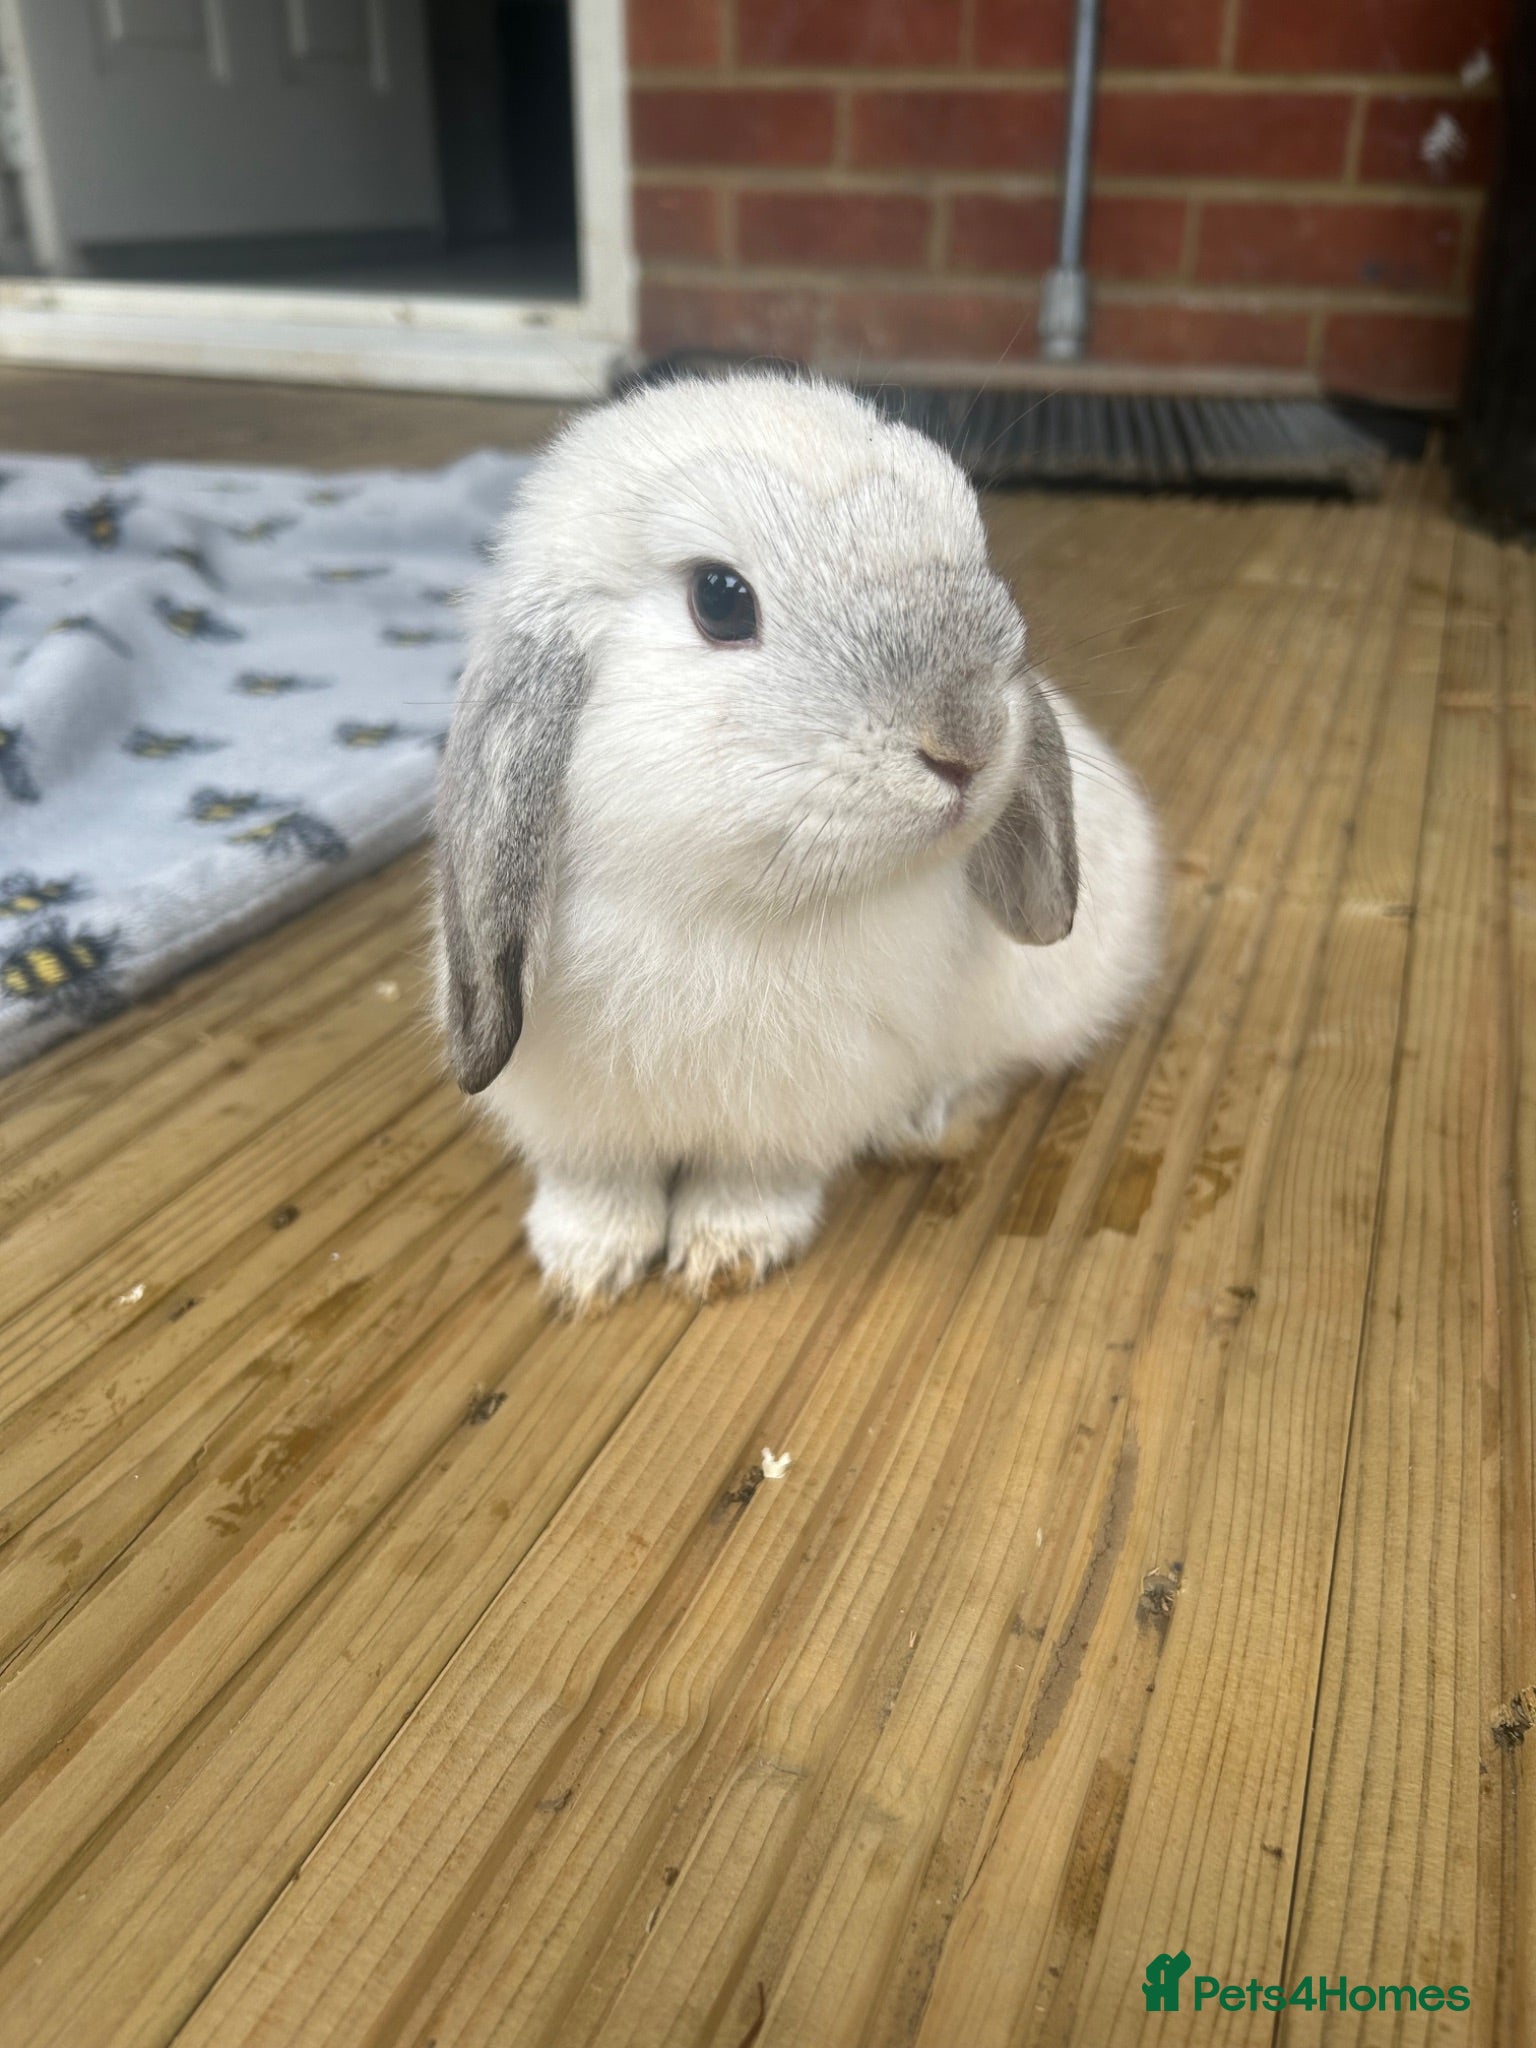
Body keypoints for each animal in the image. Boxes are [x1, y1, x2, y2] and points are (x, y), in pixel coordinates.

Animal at [434, 371, 1161, 1311]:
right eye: (720, 598)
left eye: (976, 552)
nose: (967, 742)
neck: (718, 906)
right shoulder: (579, 1120)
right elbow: (599, 1185)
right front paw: (585, 1269)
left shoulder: (792, 1114)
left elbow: (754, 1183)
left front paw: (725, 1254)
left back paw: (926, 1123)